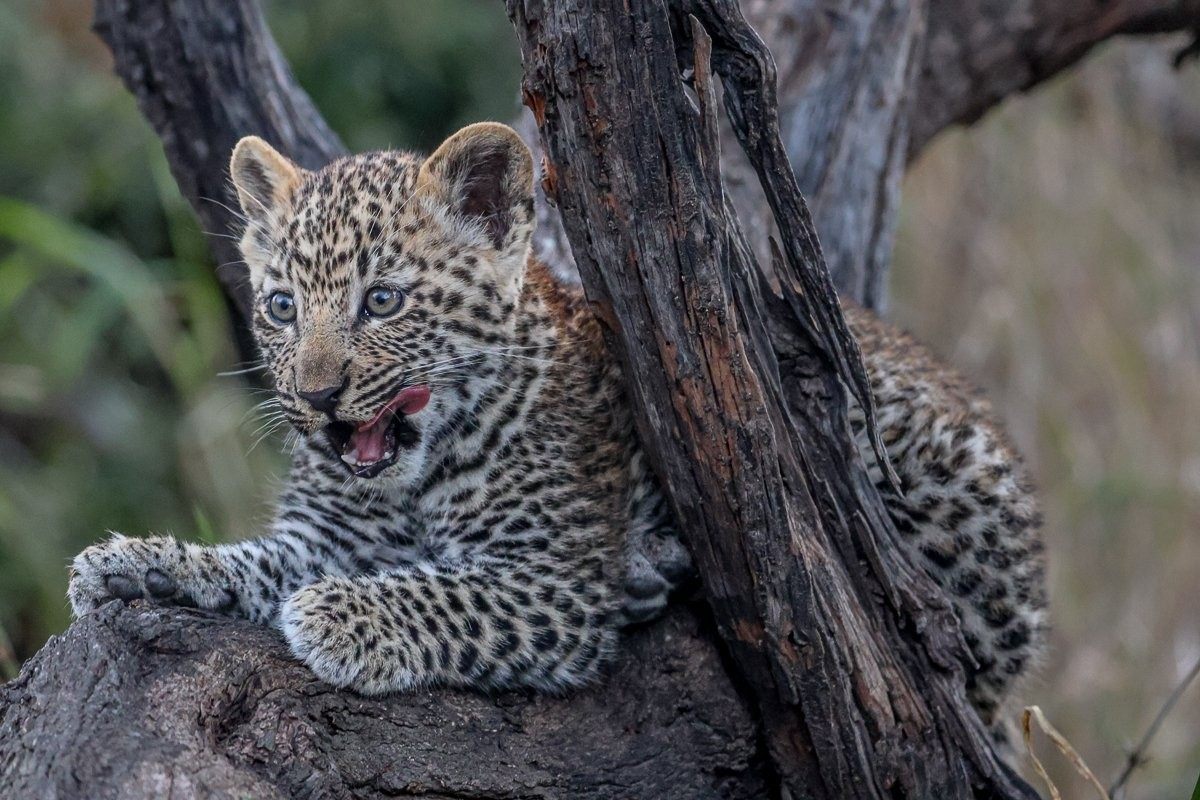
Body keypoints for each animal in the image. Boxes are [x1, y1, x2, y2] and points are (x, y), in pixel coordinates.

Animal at [68, 122, 1046, 723]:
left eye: (381, 302)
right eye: (279, 308)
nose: (315, 395)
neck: (414, 480)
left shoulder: (554, 579)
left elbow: (442, 593)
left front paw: (340, 615)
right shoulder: (326, 537)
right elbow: (247, 561)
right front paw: (131, 564)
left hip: (908, 450)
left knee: (960, 643)